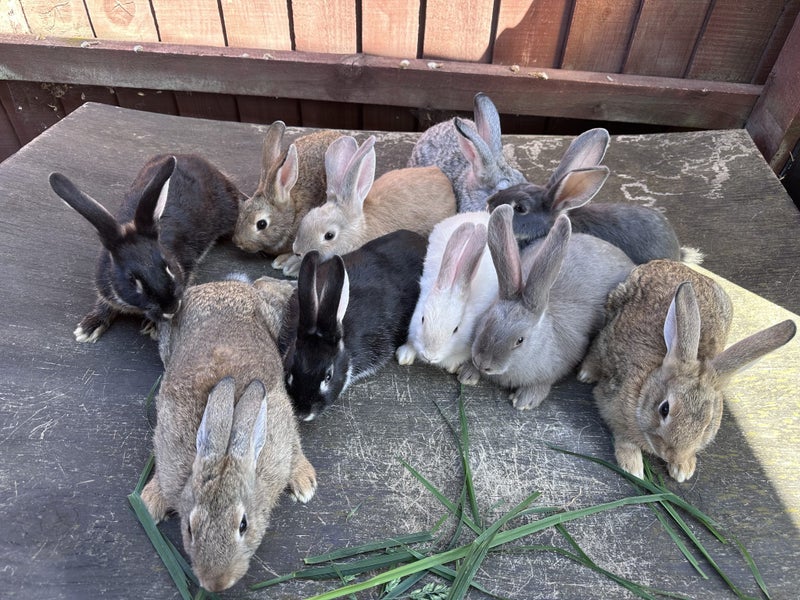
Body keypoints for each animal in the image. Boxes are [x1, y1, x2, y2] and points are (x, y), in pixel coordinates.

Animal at [141, 278, 317, 592]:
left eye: (243, 525)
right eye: (190, 528)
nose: (216, 584)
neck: (226, 448)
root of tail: (222, 285)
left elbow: (294, 446)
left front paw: (305, 483)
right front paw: (149, 504)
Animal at [396, 211, 498, 385]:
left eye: (456, 329)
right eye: (422, 319)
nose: (430, 356)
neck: (452, 284)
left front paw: (452, 365)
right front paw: (406, 355)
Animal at [471, 204, 634, 410]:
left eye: (520, 340)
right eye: (486, 322)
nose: (482, 363)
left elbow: (544, 382)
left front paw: (525, 401)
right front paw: (467, 373)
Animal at [578, 259, 797, 482]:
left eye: (707, 423)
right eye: (664, 409)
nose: (672, 455)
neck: (645, 386)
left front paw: (683, 469)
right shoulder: (611, 403)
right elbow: (624, 437)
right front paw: (633, 468)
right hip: (612, 315)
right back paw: (586, 374)